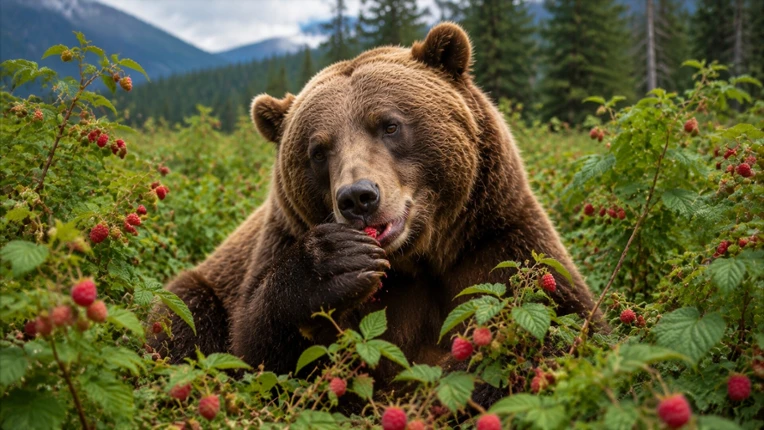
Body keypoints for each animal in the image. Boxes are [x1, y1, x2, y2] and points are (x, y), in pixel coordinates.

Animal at [150, 22, 602, 400]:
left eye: (389, 125)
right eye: (318, 150)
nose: (358, 197)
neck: (416, 259)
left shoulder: (498, 240)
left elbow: (559, 326)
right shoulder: (280, 245)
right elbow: (261, 358)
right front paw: (335, 262)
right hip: (201, 289)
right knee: (180, 321)